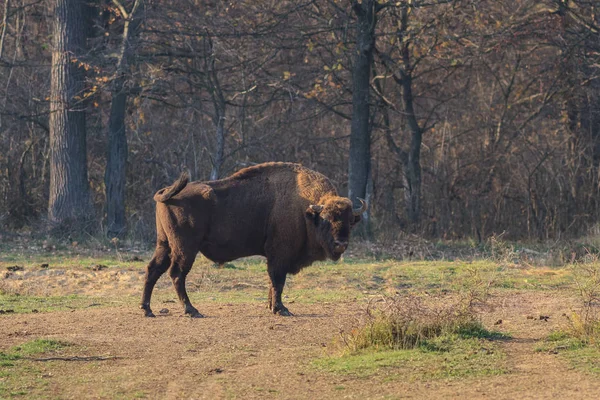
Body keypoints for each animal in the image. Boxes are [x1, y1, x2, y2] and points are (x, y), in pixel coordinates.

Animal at [141, 161, 366, 318]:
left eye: (350, 221)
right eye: (326, 219)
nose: (341, 244)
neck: (306, 210)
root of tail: (166, 193)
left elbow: (273, 282)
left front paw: (271, 306)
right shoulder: (279, 255)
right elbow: (278, 280)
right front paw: (281, 309)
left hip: (164, 244)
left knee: (153, 269)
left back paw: (147, 310)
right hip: (185, 248)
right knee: (177, 274)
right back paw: (192, 310)